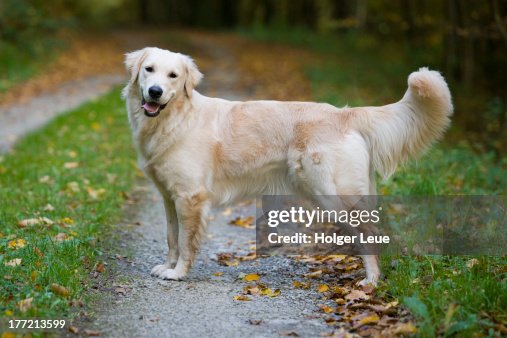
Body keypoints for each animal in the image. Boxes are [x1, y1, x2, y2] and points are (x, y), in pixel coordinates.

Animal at [122, 47, 452, 286]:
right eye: (149, 70)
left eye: (173, 76)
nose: (154, 91)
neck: (175, 118)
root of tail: (345, 113)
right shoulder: (169, 197)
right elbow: (171, 237)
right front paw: (167, 266)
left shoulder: (190, 197)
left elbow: (186, 241)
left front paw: (178, 273)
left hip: (336, 196)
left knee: (370, 234)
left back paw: (371, 281)